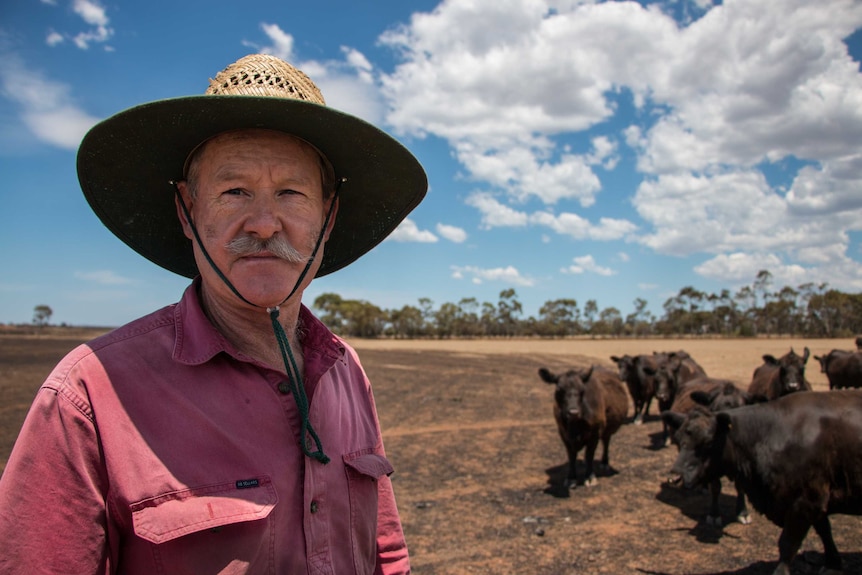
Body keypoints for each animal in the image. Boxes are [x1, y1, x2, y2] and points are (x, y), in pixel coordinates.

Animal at [664, 392, 860, 575]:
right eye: (678, 438)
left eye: (708, 441)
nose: (676, 474)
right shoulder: (816, 499)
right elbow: (824, 530)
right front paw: (833, 563)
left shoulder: (806, 501)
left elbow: (788, 543)